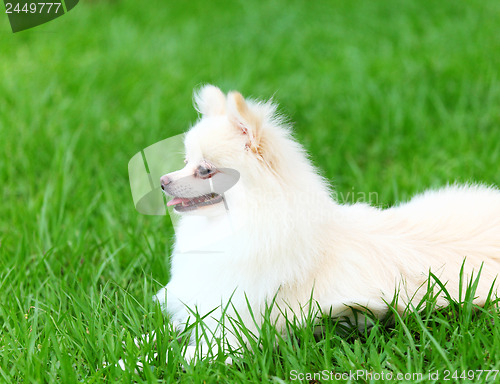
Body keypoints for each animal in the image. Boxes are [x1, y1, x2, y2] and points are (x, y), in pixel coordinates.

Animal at [154, 85, 498, 364]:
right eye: (185, 161)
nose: (162, 181)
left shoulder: (233, 334)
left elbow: (180, 356)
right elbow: (161, 333)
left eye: (205, 170)